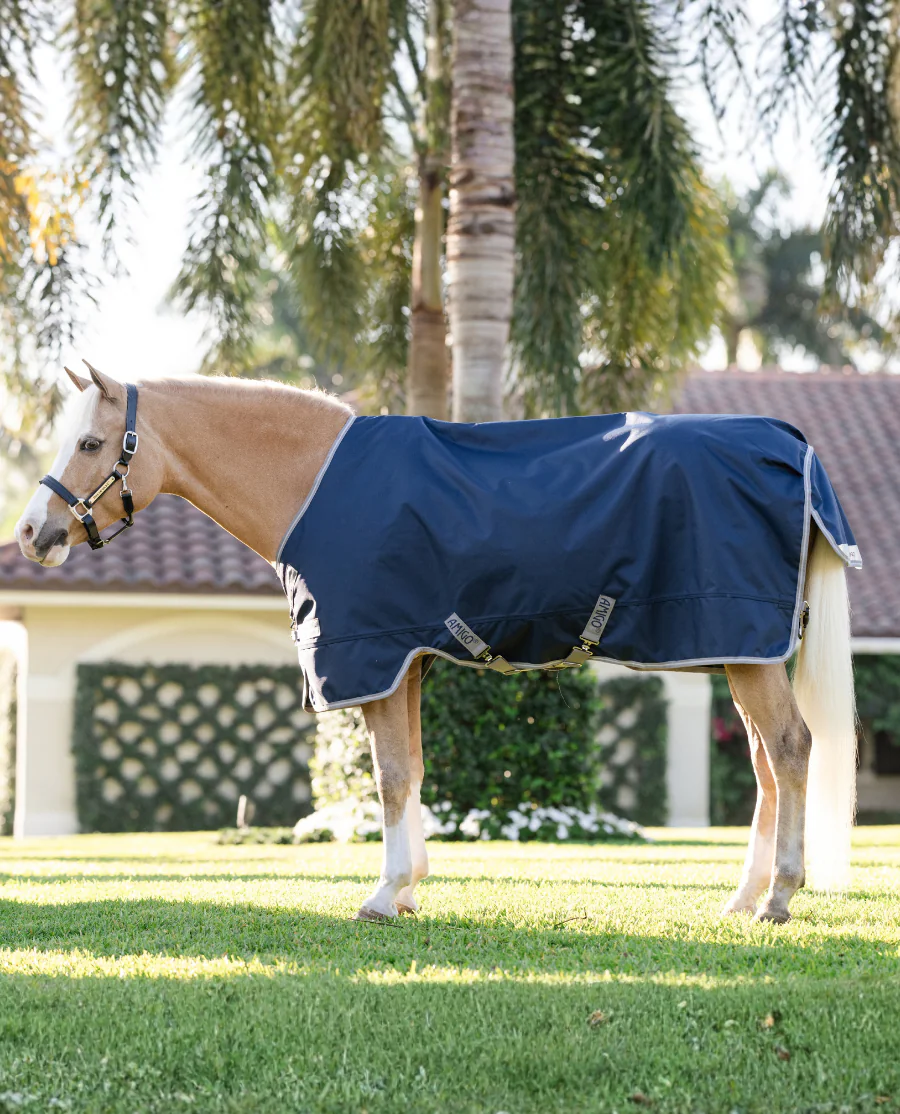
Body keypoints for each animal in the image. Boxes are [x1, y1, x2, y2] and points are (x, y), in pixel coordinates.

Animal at [15, 363, 857, 924]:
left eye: (89, 442)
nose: (30, 534)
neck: (314, 481)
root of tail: (791, 446)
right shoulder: (407, 664)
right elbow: (413, 771)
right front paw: (411, 885)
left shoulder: (374, 658)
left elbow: (389, 778)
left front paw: (384, 894)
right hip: (739, 653)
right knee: (765, 763)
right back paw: (742, 898)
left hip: (744, 651)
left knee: (789, 749)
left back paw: (779, 897)